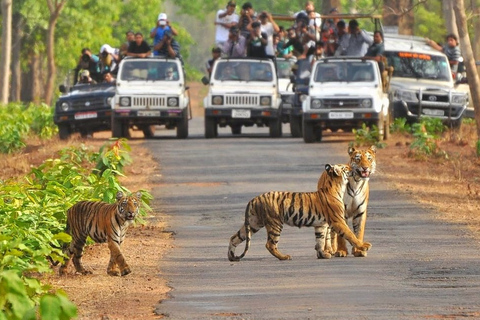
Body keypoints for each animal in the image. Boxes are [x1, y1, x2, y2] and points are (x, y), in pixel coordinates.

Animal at [228, 164, 372, 262]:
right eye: (346, 167)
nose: (353, 168)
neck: (337, 186)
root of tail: (254, 199)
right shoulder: (338, 221)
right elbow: (350, 234)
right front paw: (364, 246)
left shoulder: (321, 225)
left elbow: (320, 240)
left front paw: (322, 255)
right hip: (275, 223)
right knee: (270, 244)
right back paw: (284, 257)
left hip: (254, 223)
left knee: (234, 237)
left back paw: (231, 257)